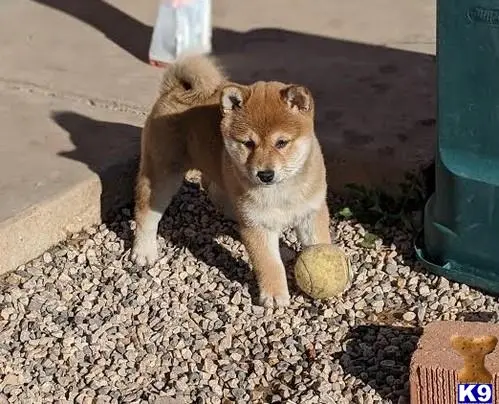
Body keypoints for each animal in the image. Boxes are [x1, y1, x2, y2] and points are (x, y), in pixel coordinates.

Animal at [133, 56, 332, 306]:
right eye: (248, 143)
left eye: (281, 143)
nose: (265, 174)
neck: (281, 192)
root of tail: (175, 90)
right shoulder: (257, 225)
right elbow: (269, 264)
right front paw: (275, 294)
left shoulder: (311, 212)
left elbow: (318, 243)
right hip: (162, 175)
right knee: (146, 213)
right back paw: (143, 251)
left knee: (212, 187)